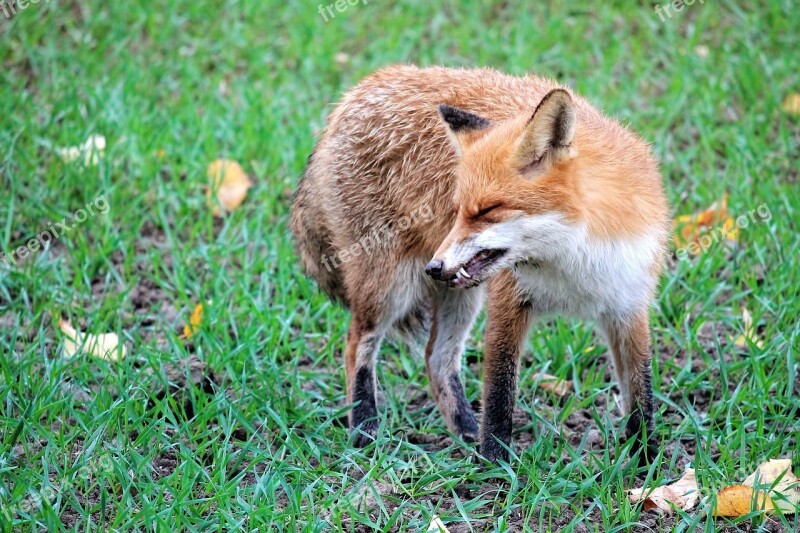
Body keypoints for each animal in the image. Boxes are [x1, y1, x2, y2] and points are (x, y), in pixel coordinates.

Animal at [290, 63, 672, 462]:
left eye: (487, 211)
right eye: (457, 210)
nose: (434, 268)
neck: (571, 262)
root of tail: (356, 93)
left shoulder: (628, 306)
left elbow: (641, 393)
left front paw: (645, 460)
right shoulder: (509, 302)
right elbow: (500, 393)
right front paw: (496, 463)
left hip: (460, 295)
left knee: (436, 359)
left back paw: (464, 431)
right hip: (390, 288)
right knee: (356, 344)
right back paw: (365, 429)